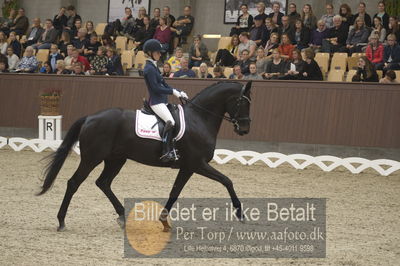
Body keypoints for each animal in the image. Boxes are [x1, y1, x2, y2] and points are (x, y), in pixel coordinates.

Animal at [37, 80, 252, 231]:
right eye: (242, 102)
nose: (244, 129)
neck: (199, 119)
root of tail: (89, 117)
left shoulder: (187, 167)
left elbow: (175, 192)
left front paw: (163, 221)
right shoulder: (197, 164)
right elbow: (227, 181)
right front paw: (240, 214)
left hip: (116, 159)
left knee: (103, 182)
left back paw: (122, 216)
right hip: (92, 158)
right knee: (74, 183)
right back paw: (61, 221)